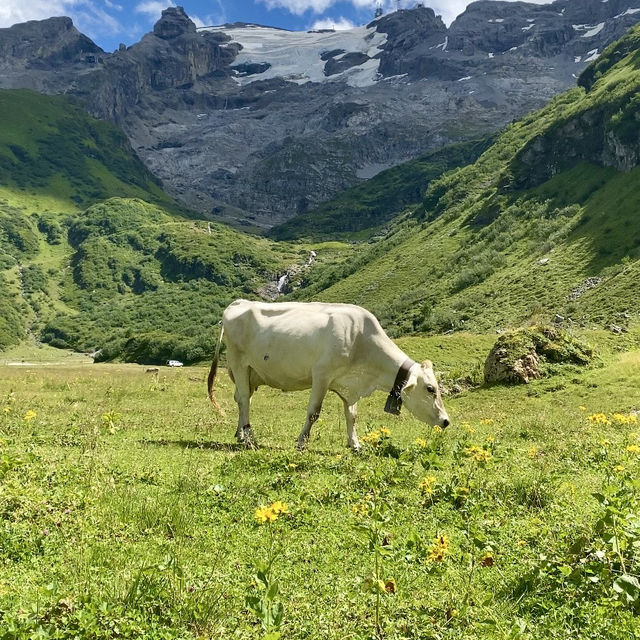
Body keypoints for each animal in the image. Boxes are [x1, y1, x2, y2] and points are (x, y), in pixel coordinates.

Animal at [208, 300, 448, 450]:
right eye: (430, 389)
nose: (446, 421)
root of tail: (239, 303)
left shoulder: (349, 386)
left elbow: (352, 415)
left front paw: (355, 444)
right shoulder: (321, 375)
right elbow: (314, 412)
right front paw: (301, 442)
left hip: (249, 372)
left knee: (242, 399)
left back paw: (240, 434)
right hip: (239, 364)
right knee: (244, 401)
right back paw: (250, 438)